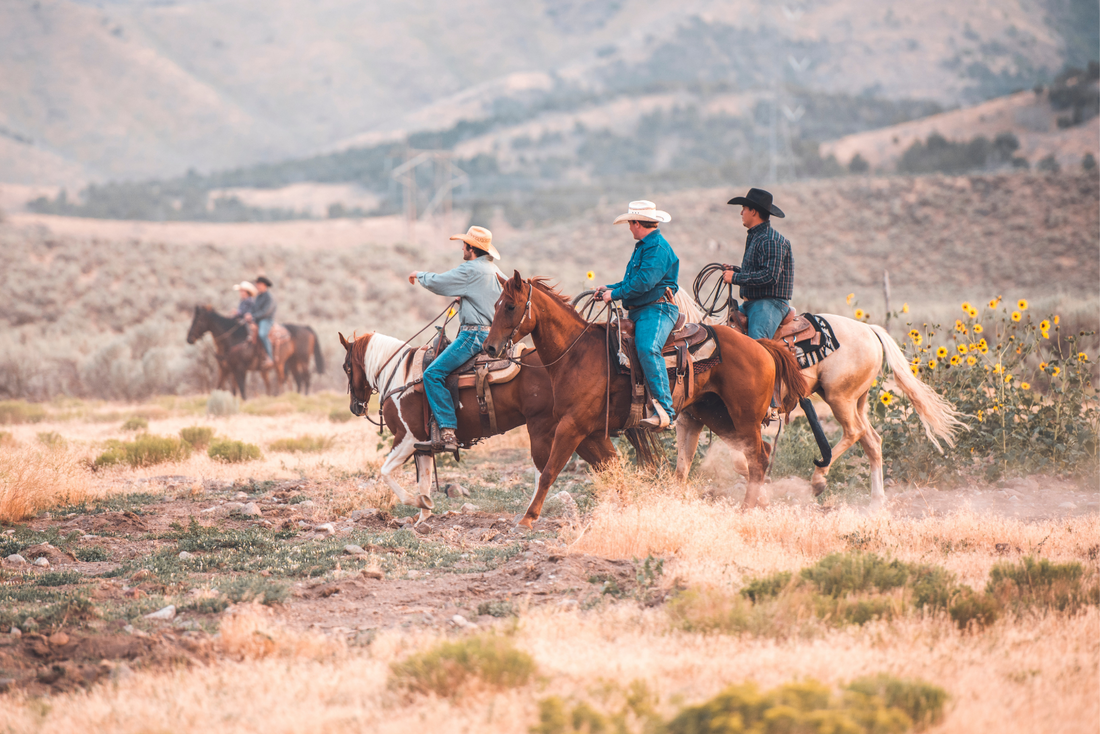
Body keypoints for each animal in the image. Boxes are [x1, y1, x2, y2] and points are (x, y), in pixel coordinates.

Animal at [484, 272, 809, 526]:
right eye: (496, 305)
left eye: (510, 306)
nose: (489, 348)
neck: (575, 354)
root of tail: (761, 347)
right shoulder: (590, 431)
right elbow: (612, 469)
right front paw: (627, 508)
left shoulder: (571, 426)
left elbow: (550, 470)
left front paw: (528, 518)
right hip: (715, 415)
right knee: (759, 454)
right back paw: (758, 504)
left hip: (744, 417)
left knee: (757, 458)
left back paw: (746, 510)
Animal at [673, 292, 968, 506]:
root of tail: (870, 330)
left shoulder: (738, 418)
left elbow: (743, 458)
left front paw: (763, 492)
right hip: (856, 400)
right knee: (872, 441)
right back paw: (876, 501)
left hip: (839, 397)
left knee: (854, 432)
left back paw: (818, 480)